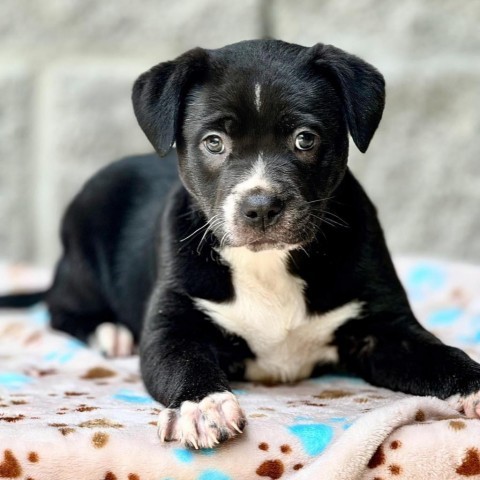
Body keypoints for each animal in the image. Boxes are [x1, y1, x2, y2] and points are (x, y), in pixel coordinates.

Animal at [42, 41, 480, 450]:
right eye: (214, 142)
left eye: (305, 139)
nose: (262, 206)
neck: (270, 263)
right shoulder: (172, 328)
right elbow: (185, 363)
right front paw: (203, 406)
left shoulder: (387, 329)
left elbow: (441, 355)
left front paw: (474, 384)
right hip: (83, 251)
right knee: (58, 307)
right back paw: (109, 331)